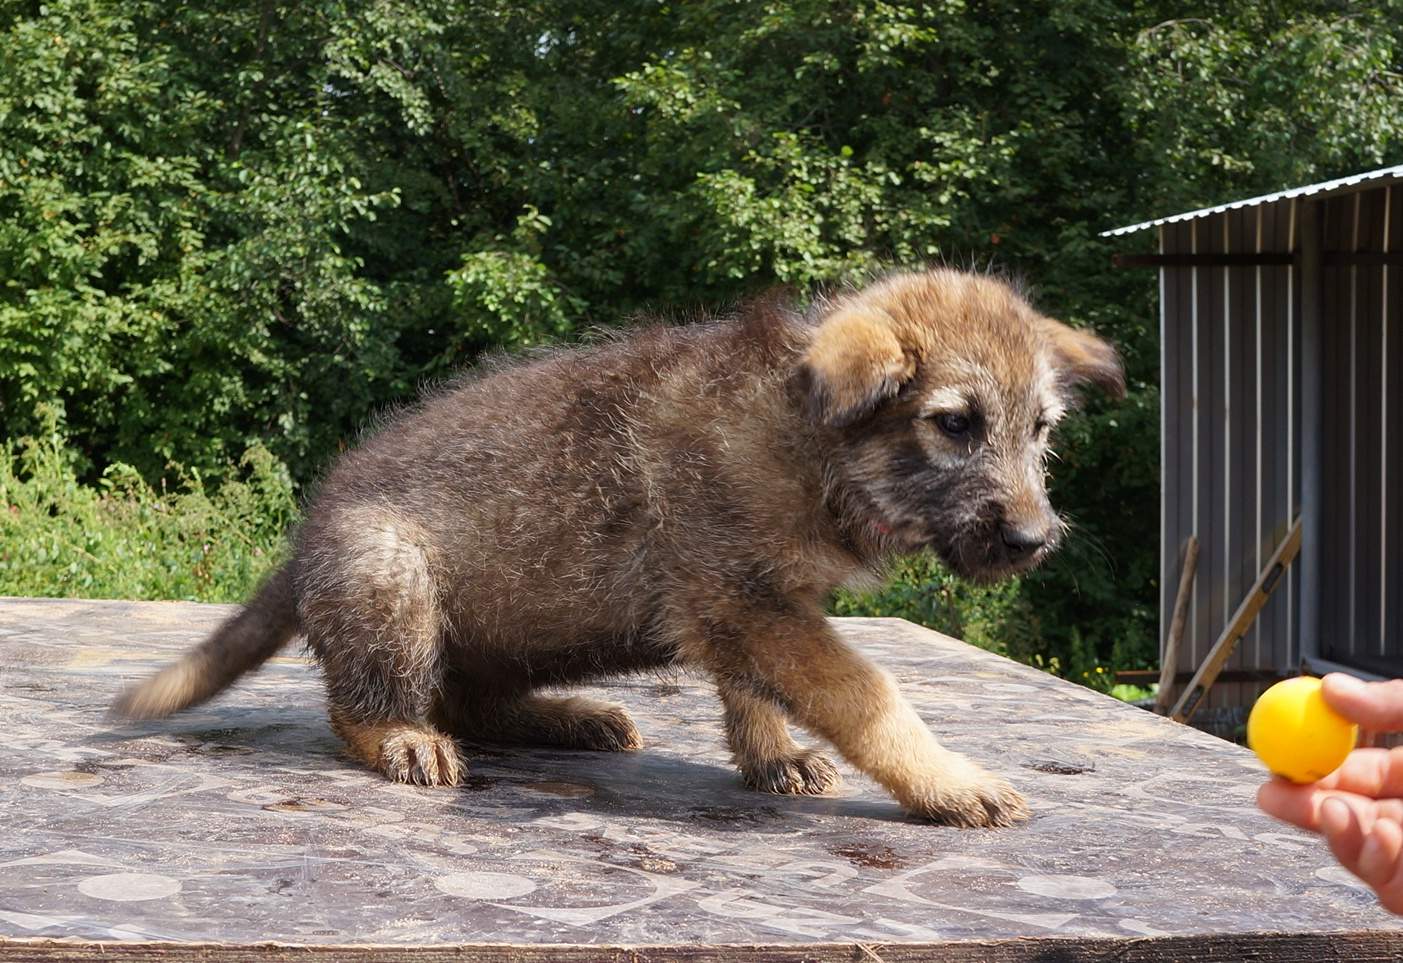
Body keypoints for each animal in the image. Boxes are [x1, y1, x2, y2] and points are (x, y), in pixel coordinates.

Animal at [114, 267, 1123, 828]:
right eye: (953, 424)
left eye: (1041, 430)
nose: (1035, 539)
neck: (807, 437)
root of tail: (307, 534)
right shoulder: (744, 597)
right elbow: (869, 696)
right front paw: (950, 781)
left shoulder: (753, 604)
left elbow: (753, 691)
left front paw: (771, 755)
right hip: (389, 572)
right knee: (365, 704)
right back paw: (401, 736)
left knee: (468, 696)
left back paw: (565, 716)